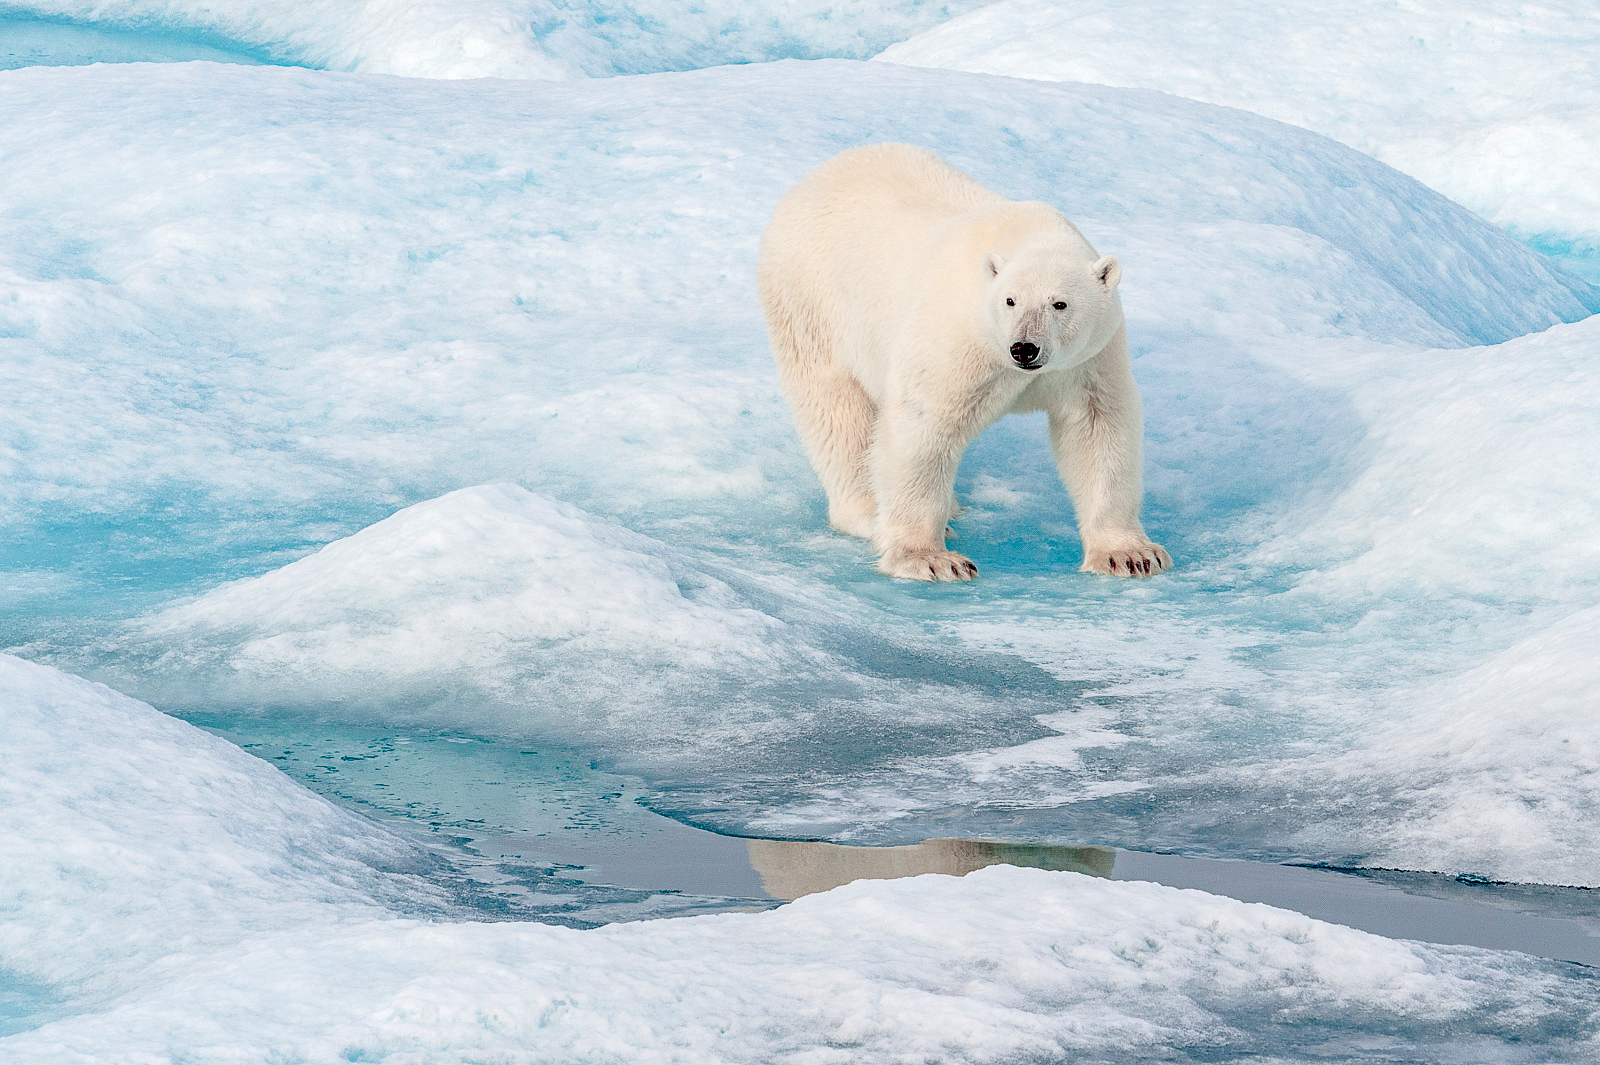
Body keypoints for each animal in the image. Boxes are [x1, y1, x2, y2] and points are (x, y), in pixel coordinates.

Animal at [758, 143, 1170, 582]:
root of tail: (810, 182)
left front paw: (1130, 555)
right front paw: (931, 558)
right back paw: (870, 512)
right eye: (1010, 300)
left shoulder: (1088, 358)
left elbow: (1096, 427)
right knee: (837, 413)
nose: (1024, 348)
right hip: (812, 305)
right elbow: (923, 424)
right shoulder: (959, 339)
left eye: (1059, 303)